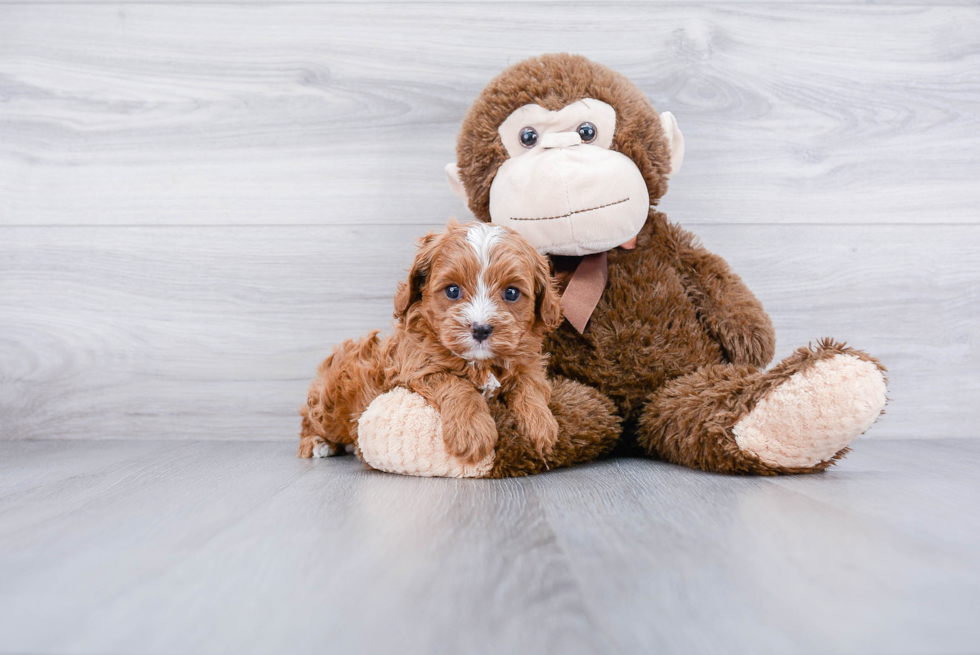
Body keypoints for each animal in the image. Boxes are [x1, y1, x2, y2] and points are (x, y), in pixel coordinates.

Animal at [294, 220, 564, 466]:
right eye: (453, 291)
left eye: (511, 293)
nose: (481, 329)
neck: (480, 362)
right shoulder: (418, 368)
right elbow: (456, 384)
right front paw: (472, 432)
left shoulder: (529, 364)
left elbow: (530, 386)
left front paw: (541, 425)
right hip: (333, 402)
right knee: (312, 417)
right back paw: (317, 443)